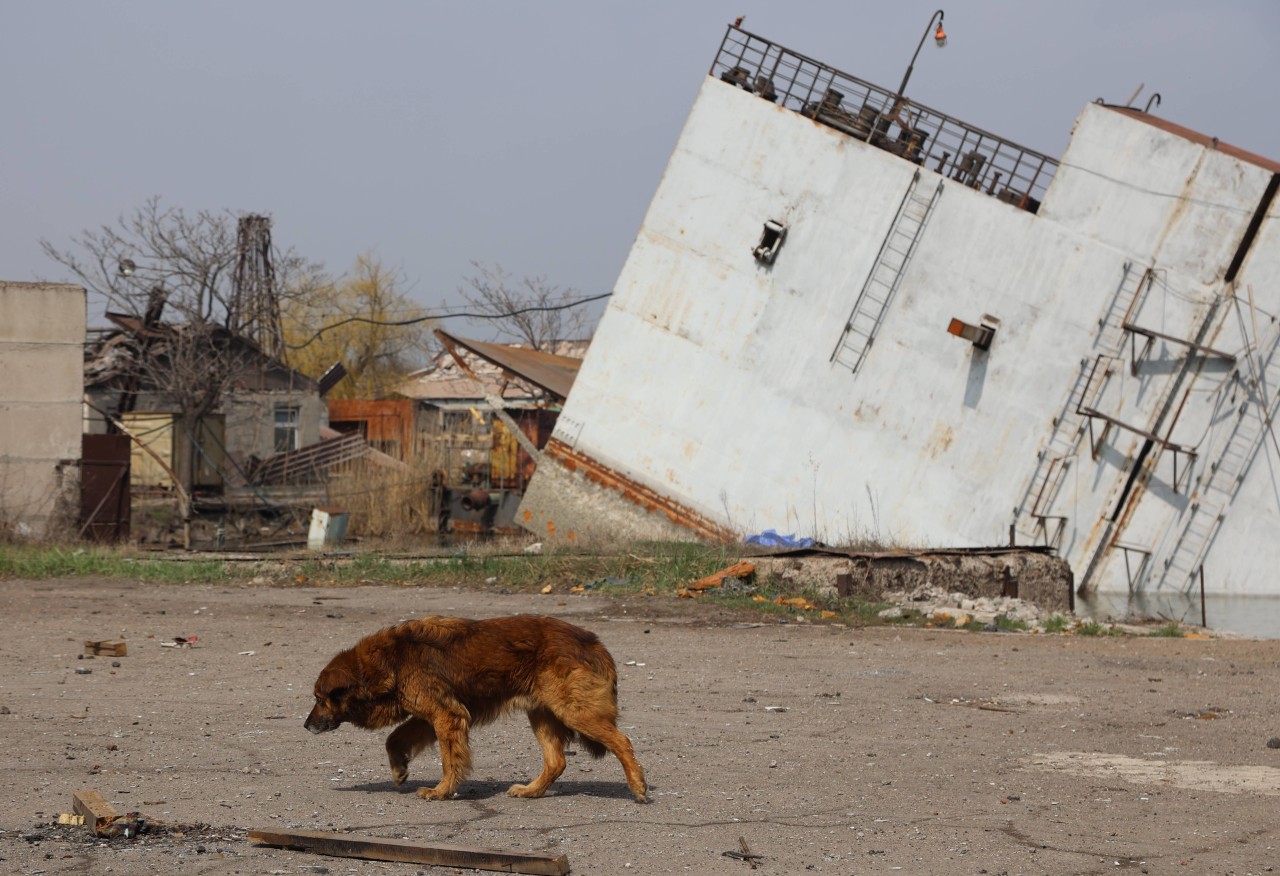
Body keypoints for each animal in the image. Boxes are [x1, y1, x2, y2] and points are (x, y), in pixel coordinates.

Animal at [303, 614, 645, 799]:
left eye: (319, 699)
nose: (305, 726)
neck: (390, 661)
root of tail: (592, 641)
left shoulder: (447, 715)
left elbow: (449, 760)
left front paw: (441, 791)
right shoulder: (428, 717)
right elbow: (394, 739)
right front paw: (399, 768)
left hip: (574, 711)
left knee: (622, 741)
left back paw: (638, 785)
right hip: (542, 713)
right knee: (556, 761)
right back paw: (530, 791)